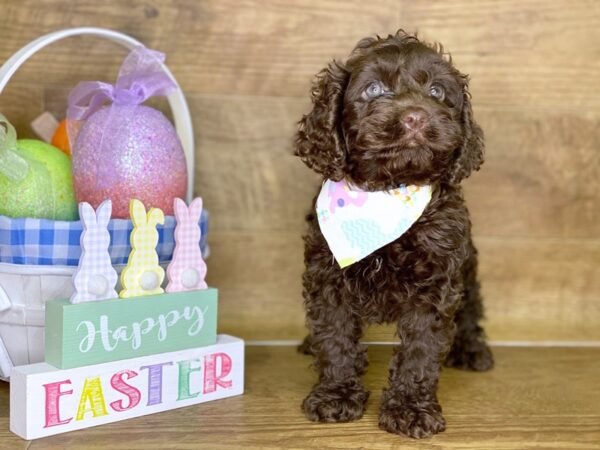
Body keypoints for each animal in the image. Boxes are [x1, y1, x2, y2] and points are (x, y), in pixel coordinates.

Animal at [294, 29, 492, 438]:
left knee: (470, 308)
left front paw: (411, 409)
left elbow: (420, 349)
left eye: (437, 92)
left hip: (468, 266)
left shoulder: (436, 283)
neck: (387, 191)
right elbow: (335, 336)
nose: (415, 117)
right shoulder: (327, 276)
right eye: (373, 90)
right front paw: (335, 394)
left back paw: (471, 349)